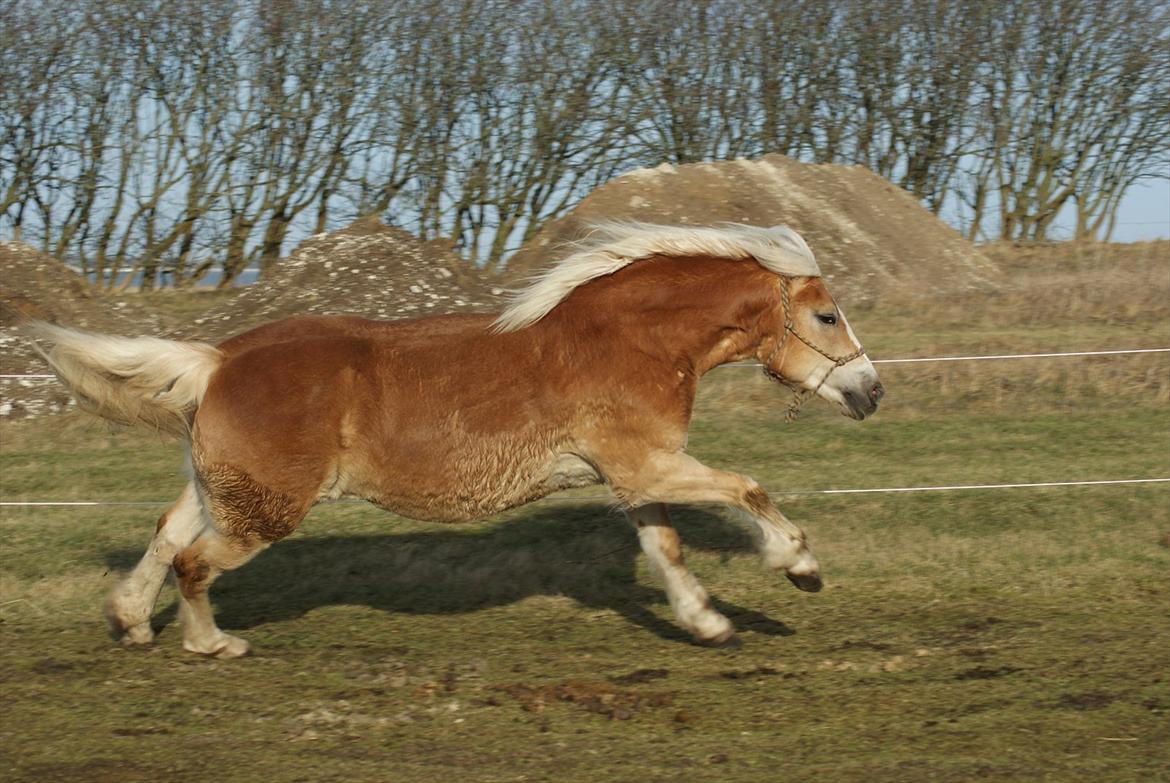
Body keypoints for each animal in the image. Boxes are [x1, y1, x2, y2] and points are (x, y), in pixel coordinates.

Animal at [32, 220, 879, 655]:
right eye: (827, 314)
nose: (871, 391)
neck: (626, 340)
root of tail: (216, 359)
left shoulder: (635, 475)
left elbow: (665, 548)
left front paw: (709, 623)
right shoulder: (649, 462)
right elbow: (749, 487)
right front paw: (799, 567)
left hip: (223, 485)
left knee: (164, 535)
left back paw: (130, 623)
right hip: (266, 507)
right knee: (193, 560)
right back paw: (214, 644)